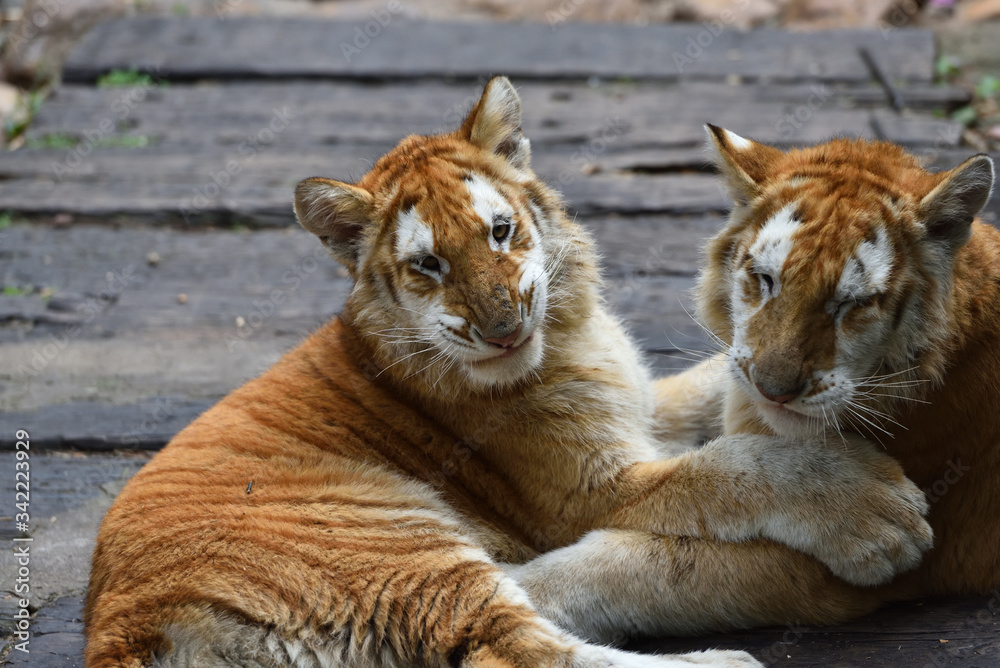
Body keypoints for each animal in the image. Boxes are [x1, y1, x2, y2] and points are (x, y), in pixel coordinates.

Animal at [84, 78, 934, 668]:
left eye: (500, 231)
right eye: (428, 265)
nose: (503, 327)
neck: (567, 336)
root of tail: (121, 627)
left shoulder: (637, 402)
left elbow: (711, 393)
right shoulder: (590, 488)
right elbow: (735, 466)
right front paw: (876, 511)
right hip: (395, 539)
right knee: (517, 649)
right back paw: (723, 661)